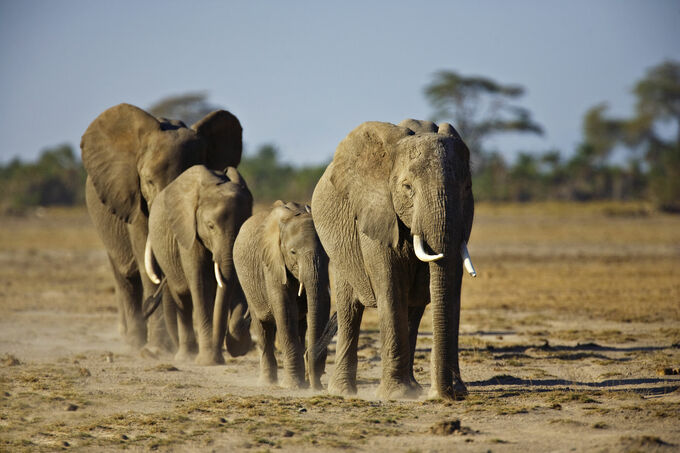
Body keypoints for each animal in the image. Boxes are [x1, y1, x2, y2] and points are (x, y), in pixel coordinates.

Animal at [81, 103, 244, 350]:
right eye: (148, 181)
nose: (149, 305)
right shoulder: (134, 199)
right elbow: (147, 261)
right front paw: (160, 348)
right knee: (126, 277)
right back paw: (135, 342)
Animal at [145, 165, 254, 364]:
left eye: (243, 226)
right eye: (210, 226)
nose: (218, 357)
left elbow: (233, 284)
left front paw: (237, 344)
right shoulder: (188, 231)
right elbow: (200, 284)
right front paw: (208, 362)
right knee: (184, 300)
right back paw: (185, 357)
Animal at [232, 201, 330, 388]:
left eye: (327, 254)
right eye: (292, 252)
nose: (318, 386)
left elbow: (323, 302)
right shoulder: (272, 262)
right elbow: (285, 309)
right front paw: (294, 386)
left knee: (300, 327)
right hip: (247, 283)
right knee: (263, 328)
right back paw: (267, 383)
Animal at [310, 119, 476, 400]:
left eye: (467, 189)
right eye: (407, 188)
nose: (443, 395)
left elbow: (444, 289)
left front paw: (450, 391)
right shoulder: (377, 213)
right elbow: (390, 287)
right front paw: (397, 394)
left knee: (414, 308)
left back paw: (414, 388)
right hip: (339, 249)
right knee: (349, 310)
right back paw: (343, 390)